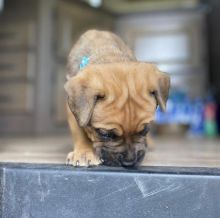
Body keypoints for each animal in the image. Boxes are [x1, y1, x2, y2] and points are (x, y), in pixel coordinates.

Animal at [64, 29, 170, 168]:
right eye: (104, 134)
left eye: (145, 130)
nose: (129, 162)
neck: (108, 53)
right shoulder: (73, 108)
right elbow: (79, 131)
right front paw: (84, 153)